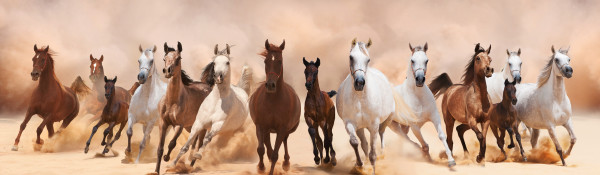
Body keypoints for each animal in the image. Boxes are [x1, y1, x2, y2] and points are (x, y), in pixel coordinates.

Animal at [155, 41, 216, 174]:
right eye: (164, 58)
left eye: (178, 58)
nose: (167, 71)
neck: (172, 102)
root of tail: (207, 86)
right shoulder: (163, 123)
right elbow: (160, 148)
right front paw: (156, 170)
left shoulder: (180, 125)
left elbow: (172, 143)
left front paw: (167, 158)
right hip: (191, 126)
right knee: (194, 143)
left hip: (201, 127)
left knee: (199, 144)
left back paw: (190, 167)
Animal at [250, 39, 302, 175]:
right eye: (266, 61)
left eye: (280, 61)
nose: (270, 85)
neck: (273, 101)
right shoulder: (260, 125)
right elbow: (261, 149)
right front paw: (261, 168)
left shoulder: (282, 128)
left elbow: (275, 154)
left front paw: (271, 170)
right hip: (267, 129)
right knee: (267, 145)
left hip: (286, 130)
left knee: (284, 141)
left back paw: (286, 163)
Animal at [336, 38, 396, 174]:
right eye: (351, 57)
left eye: (367, 60)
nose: (359, 83)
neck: (360, 99)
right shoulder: (350, 123)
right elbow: (355, 142)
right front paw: (360, 164)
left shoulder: (374, 125)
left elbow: (373, 153)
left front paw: (373, 169)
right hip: (361, 128)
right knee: (364, 143)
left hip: (387, 119)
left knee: (382, 133)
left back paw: (382, 154)